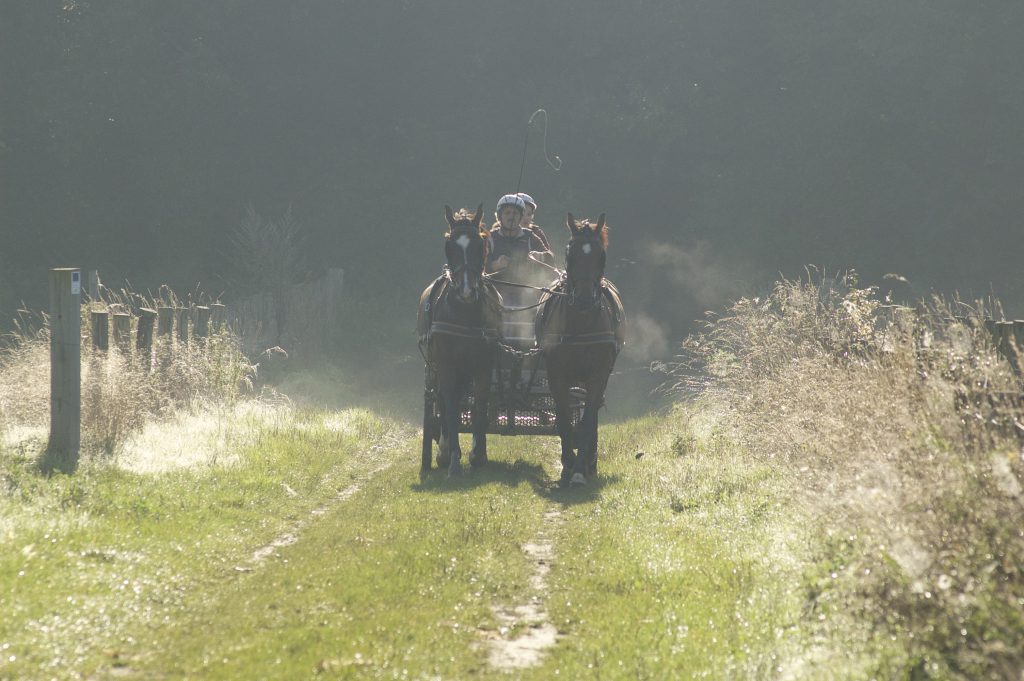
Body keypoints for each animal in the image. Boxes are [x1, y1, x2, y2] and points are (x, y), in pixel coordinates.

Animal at [417, 205, 501, 477]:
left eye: (479, 244)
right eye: (449, 246)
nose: (466, 290)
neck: (464, 313)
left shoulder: (483, 364)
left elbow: (480, 404)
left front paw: (478, 454)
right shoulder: (446, 364)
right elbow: (451, 405)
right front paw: (452, 456)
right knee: (443, 401)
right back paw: (443, 451)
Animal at [536, 213, 622, 483]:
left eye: (601, 255)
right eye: (570, 253)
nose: (584, 298)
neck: (580, 325)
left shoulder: (598, 374)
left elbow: (588, 417)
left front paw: (580, 469)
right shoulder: (556, 375)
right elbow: (564, 416)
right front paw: (567, 465)